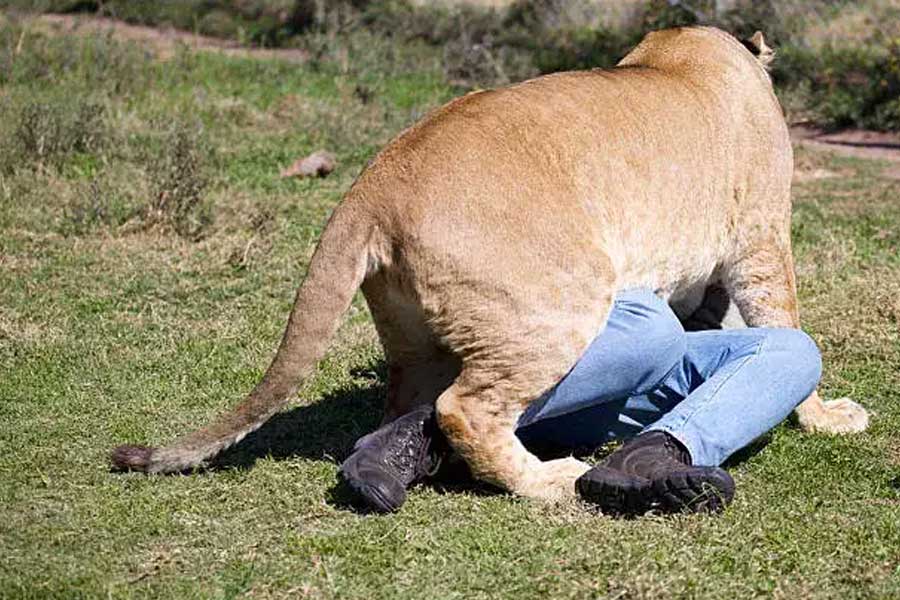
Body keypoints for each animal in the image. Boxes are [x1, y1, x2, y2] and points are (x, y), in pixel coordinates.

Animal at [112, 27, 869, 500]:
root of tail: (372, 184)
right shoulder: (761, 233)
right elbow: (785, 322)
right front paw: (825, 415)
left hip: (415, 332)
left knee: (405, 402)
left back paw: (387, 465)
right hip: (557, 302)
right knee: (467, 407)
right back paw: (551, 482)